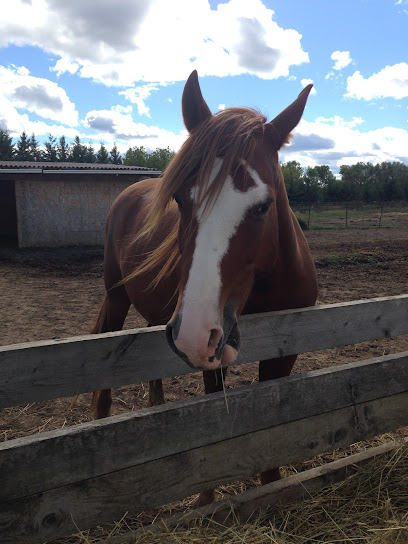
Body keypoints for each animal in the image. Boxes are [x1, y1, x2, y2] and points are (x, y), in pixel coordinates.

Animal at [91, 70, 318, 504]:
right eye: (181, 200)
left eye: (263, 206)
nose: (196, 333)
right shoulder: (213, 357)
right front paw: (206, 500)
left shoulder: (286, 351)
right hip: (117, 298)